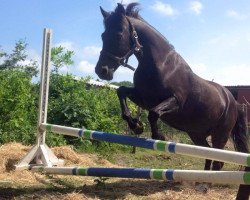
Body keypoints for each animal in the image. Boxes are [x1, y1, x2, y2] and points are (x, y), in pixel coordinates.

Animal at [94, 2, 249, 198]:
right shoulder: (143, 98)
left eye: (118, 34)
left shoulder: (174, 102)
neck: (159, 65)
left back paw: (206, 186)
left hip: (220, 134)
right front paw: (136, 126)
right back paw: (199, 183)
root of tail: (234, 102)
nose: (102, 71)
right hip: (197, 134)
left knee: (218, 160)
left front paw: (158, 136)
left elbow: (153, 114)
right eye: (102, 36)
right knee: (207, 154)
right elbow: (121, 92)